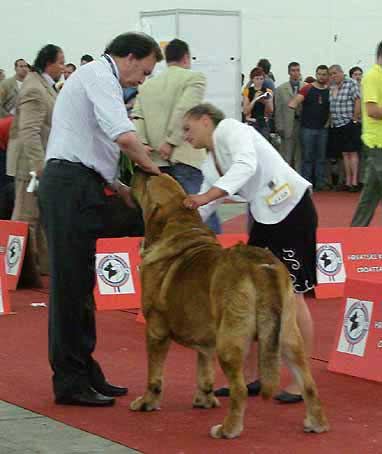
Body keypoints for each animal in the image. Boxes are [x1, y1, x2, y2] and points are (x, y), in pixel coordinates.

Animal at [129, 172, 328, 438]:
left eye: (148, 182)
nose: (139, 170)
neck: (178, 223)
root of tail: (262, 267)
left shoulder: (155, 330)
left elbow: (154, 374)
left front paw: (146, 402)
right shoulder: (204, 337)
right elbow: (204, 369)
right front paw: (204, 399)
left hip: (229, 341)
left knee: (240, 390)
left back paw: (228, 429)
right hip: (288, 335)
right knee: (308, 383)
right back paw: (316, 423)